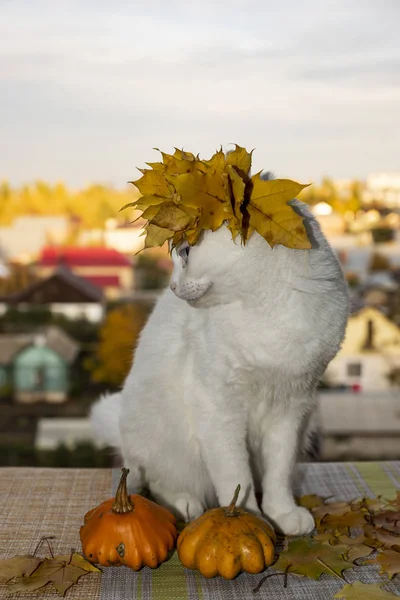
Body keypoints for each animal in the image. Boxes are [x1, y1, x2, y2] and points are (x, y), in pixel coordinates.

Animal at [92, 196, 348, 536]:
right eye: (176, 254)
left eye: (185, 252)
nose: (172, 286)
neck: (267, 311)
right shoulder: (219, 410)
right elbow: (236, 478)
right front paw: (248, 519)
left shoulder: (290, 409)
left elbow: (278, 474)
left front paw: (282, 514)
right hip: (160, 436)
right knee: (154, 482)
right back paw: (183, 504)